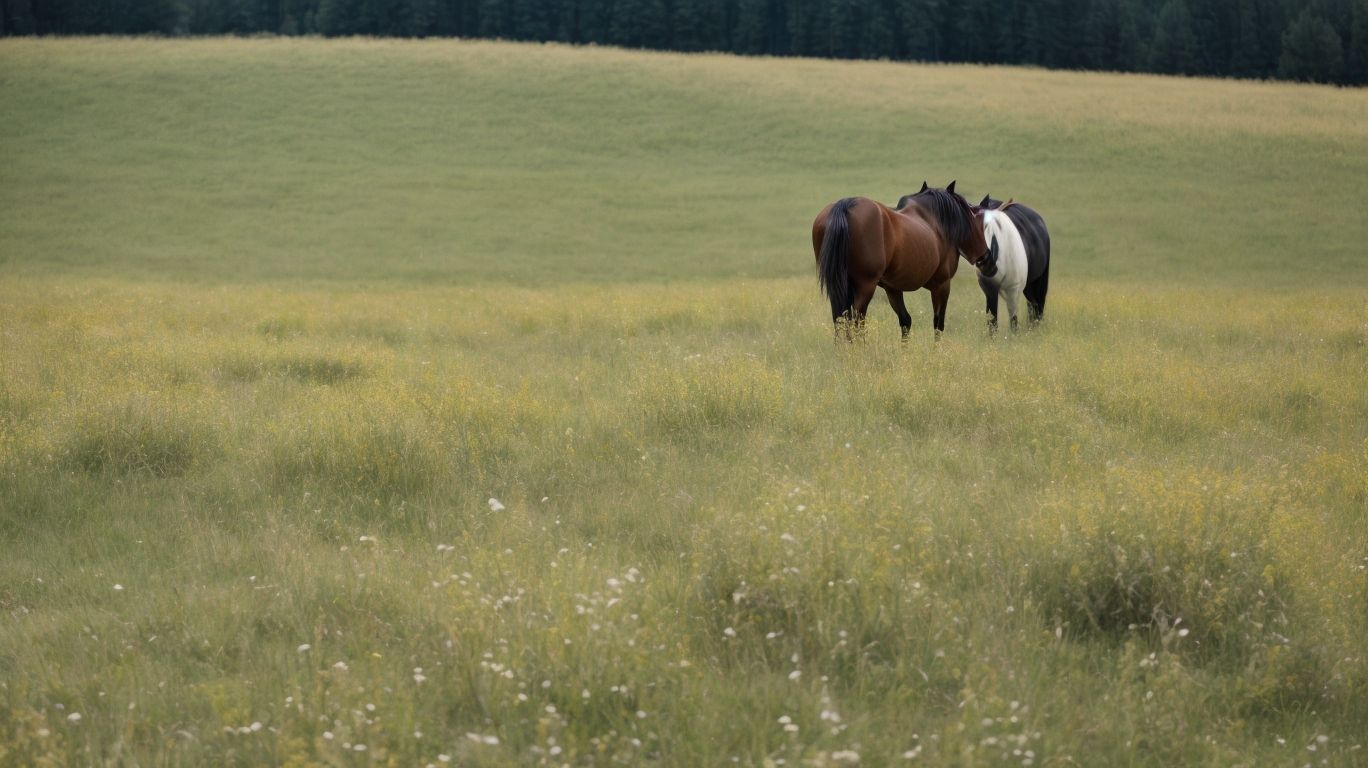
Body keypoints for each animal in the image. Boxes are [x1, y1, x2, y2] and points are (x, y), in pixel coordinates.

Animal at [812, 181, 990, 341]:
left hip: (842, 285)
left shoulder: (893, 288)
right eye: (976, 220)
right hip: (865, 285)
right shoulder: (942, 284)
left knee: (841, 318)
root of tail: (846, 205)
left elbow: (905, 320)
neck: (935, 222)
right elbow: (938, 324)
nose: (985, 255)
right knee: (857, 319)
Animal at [975, 194, 1051, 330]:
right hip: (1028, 285)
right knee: (1033, 305)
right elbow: (992, 322)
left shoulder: (1013, 290)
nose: (986, 263)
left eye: (987, 226)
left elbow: (1014, 322)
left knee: (1036, 306)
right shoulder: (989, 288)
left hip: (1036, 281)